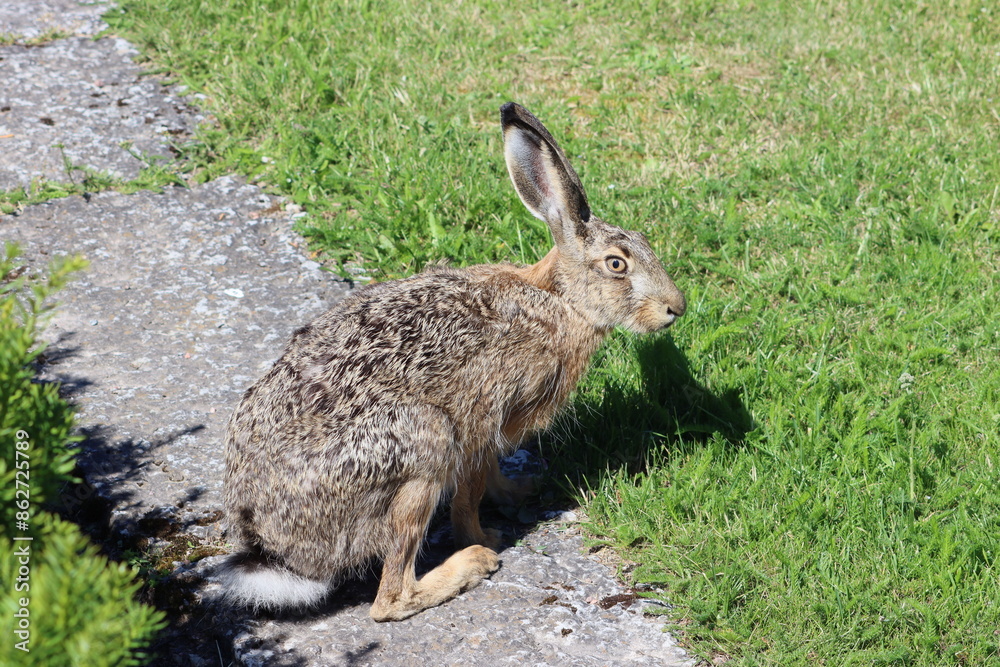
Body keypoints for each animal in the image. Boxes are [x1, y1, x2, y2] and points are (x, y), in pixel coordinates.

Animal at [219, 102, 686, 621]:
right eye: (616, 264)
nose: (676, 308)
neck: (561, 299)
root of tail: (273, 547)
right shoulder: (482, 422)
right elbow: (471, 491)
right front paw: (486, 535)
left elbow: (495, 474)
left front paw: (520, 491)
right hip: (424, 448)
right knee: (390, 597)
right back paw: (471, 564)